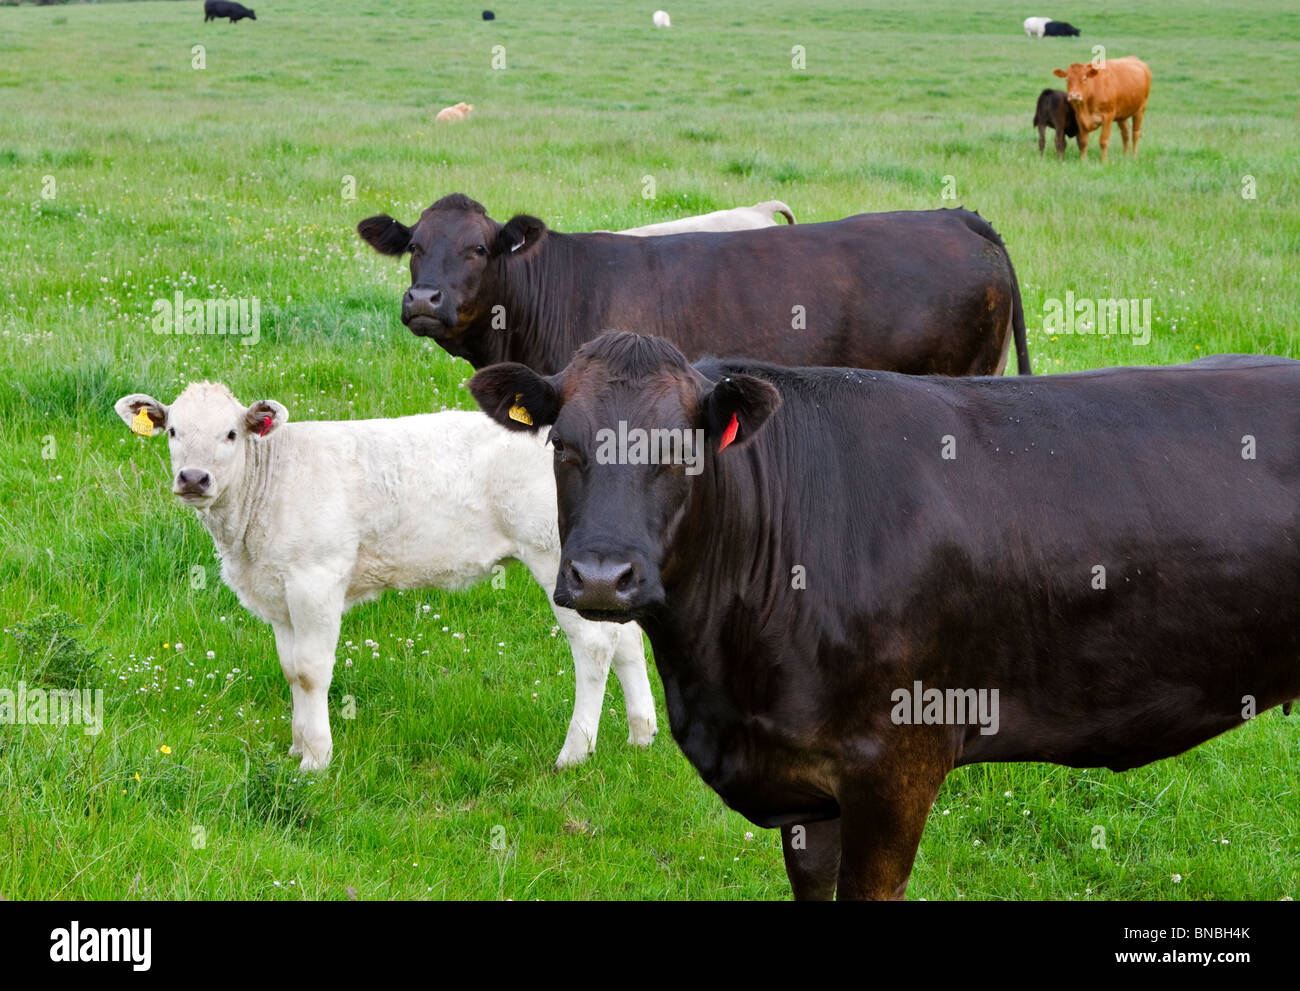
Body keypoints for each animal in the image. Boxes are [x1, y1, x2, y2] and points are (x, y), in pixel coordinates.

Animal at [113, 383, 656, 772]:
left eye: (231, 434)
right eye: (173, 432)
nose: (193, 478)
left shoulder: (315, 579)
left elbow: (311, 671)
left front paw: (316, 760)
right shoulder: (279, 591)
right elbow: (290, 669)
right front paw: (296, 747)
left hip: (554, 554)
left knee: (594, 646)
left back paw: (574, 753)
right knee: (626, 638)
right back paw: (641, 735)